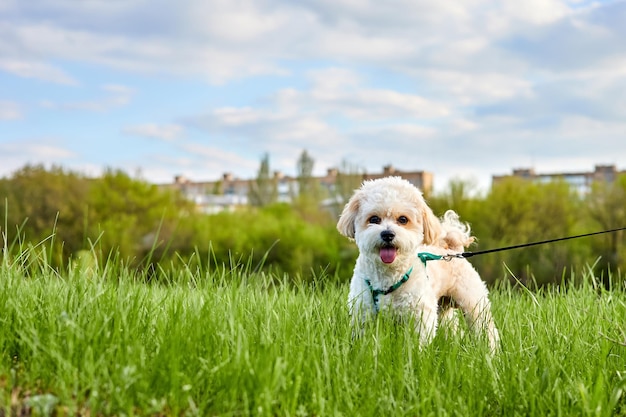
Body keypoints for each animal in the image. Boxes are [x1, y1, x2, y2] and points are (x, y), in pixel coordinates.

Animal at [336, 176, 498, 352]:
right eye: (374, 219)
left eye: (403, 219)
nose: (387, 234)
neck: (388, 276)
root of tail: (452, 249)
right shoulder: (364, 312)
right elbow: (364, 340)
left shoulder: (421, 313)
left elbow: (419, 342)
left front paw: (417, 356)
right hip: (442, 308)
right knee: (452, 327)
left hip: (474, 303)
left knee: (485, 328)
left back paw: (491, 352)